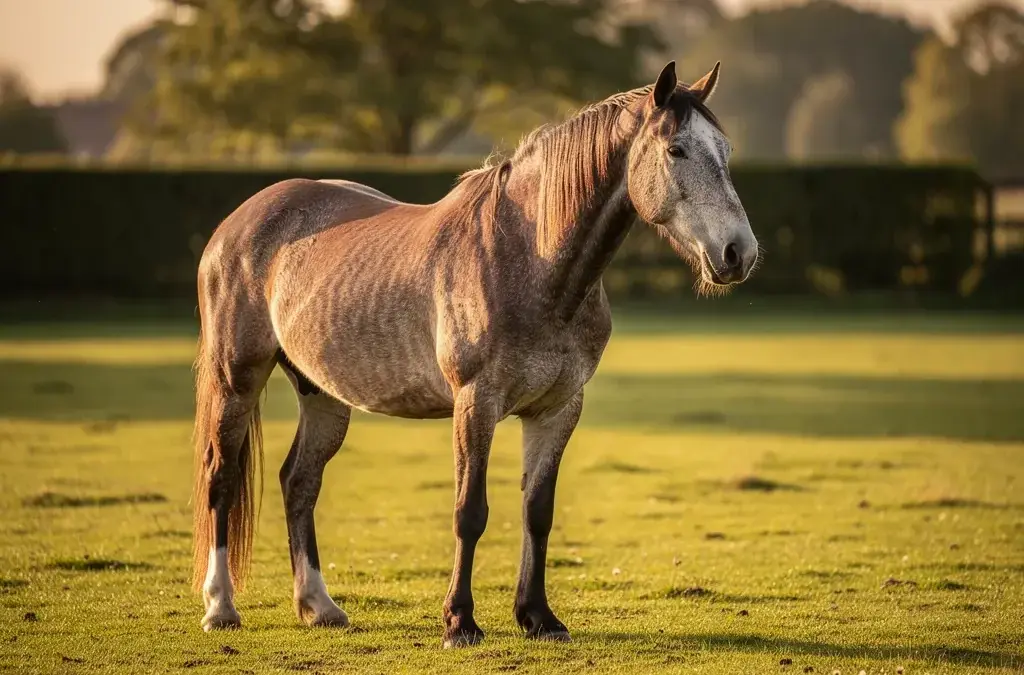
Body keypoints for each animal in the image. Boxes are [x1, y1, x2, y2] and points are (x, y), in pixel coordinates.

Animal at [191, 60, 758, 647]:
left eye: (725, 150)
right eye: (676, 150)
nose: (738, 253)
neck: (530, 257)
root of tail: (238, 223)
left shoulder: (557, 409)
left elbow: (537, 511)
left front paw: (538, 616)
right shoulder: (475, 402)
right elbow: (470, 511)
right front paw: (459, 622)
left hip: (322, 394)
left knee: (299, 481)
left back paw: (318, 606)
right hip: (236, 378)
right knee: (220, 477)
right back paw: (220, 607)